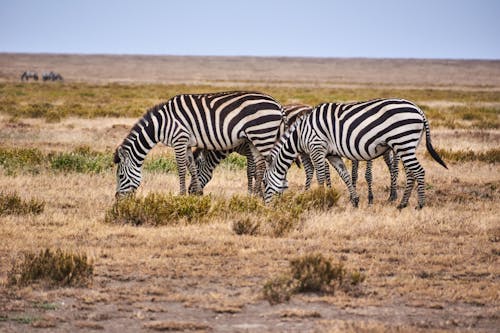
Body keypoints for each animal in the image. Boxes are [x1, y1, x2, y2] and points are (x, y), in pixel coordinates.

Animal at [114, 90, 286, 197]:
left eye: (120, 176)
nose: (117, 198)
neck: (161, 124)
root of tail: (277, 104)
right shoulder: (187, 143)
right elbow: (191, 166)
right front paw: (195, 193)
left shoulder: (179, 139)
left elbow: (181, 168)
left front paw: (181, 194)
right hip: (255, 139)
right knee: (261, 165)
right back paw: (257, 195)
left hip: (263, 135)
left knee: (270, 164)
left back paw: (268, 193)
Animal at [264, 97, 448, 209]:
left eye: (264, 183)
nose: (265, 206)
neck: (300, 134)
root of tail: (418, 109)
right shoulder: (332, 154)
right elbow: (345, 175)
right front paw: (355, 200)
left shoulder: (317, 148)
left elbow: (320, 176)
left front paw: (318, 199)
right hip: (408, 145)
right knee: (411, 173)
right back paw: (402, 204)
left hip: (403, 142)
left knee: (419, 171)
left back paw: (419, 204)